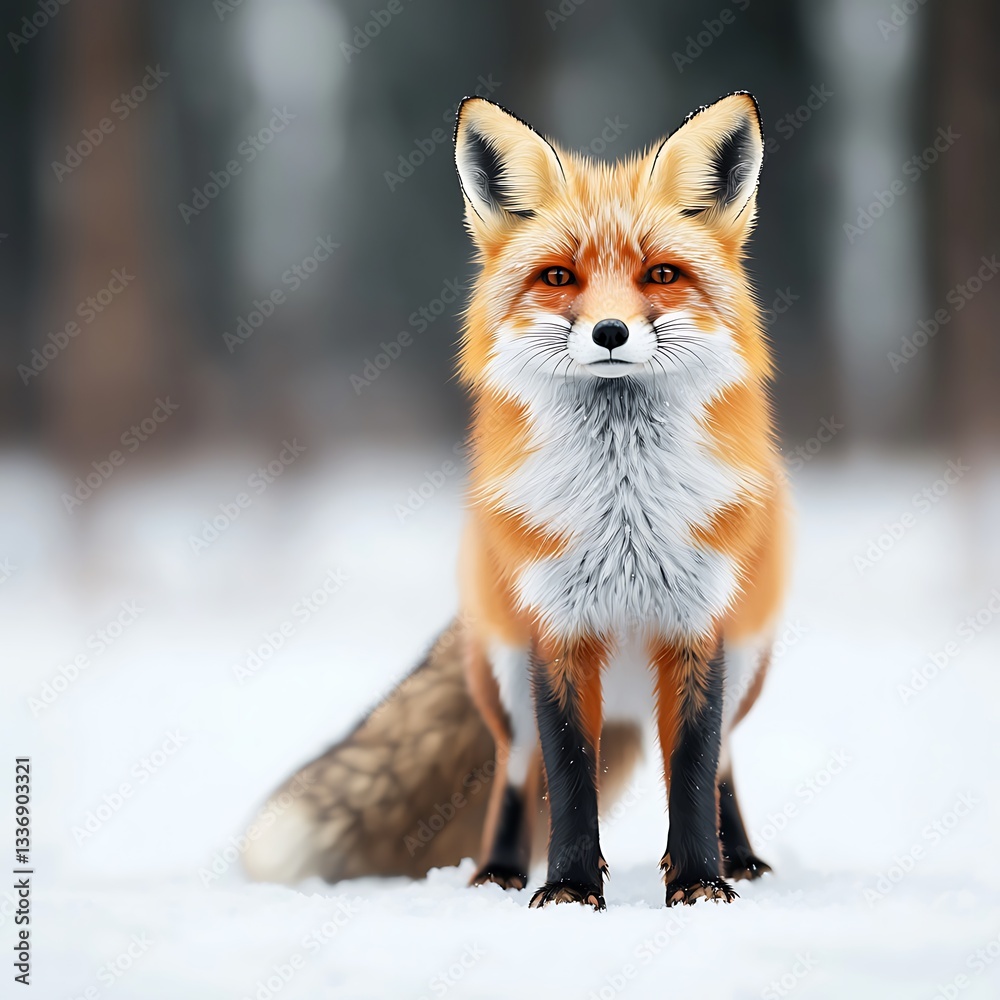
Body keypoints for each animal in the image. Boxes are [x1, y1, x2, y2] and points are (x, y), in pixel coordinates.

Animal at [244, 92, 790, 909]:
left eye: (661, 273)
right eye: (559, 277)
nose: (609, 331)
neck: (623, 519)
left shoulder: (697, 624)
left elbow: (692, 772)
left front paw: (699, 883)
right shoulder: (555, 630)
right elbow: (566, 776)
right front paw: (568, 889)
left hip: (746, 658)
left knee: (721, 759)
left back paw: (744, 860)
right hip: (501, 673)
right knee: (512, 770)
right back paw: (498, 872)